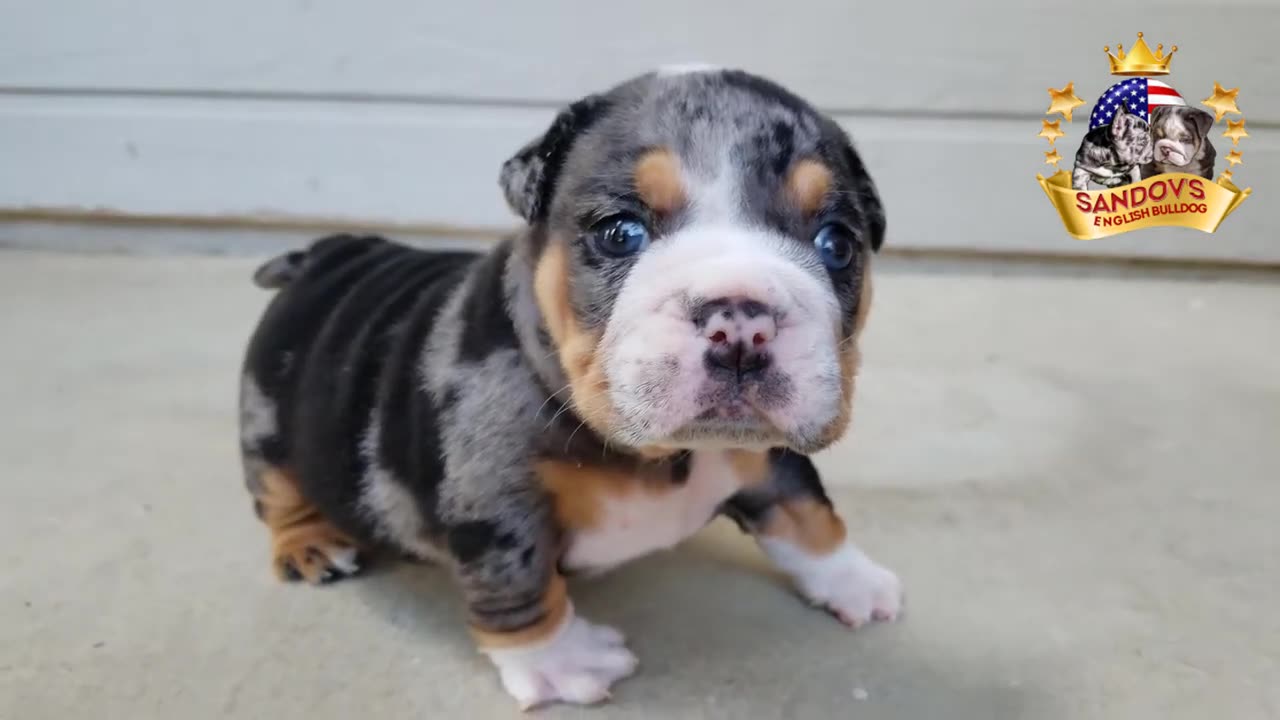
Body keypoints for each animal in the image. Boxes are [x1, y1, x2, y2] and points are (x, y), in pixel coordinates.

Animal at [240, 65, 901, 707]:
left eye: (837, 244)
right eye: (619, 234)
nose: (741, 320)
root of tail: (323, 256)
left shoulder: (773, 455)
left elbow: (807, 512)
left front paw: (852, 579)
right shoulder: (496, 501)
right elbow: (520, 583)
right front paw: (559, 662)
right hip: (265, 420)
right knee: (278, 494)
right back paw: (310, 543)